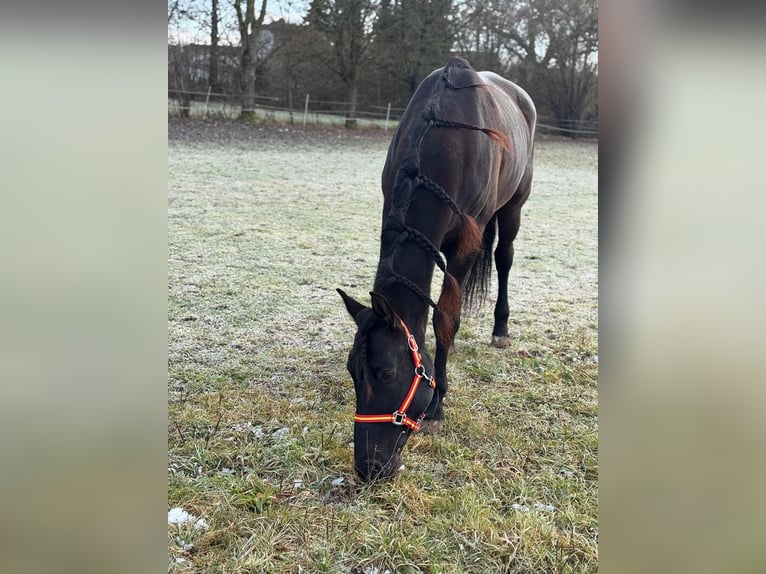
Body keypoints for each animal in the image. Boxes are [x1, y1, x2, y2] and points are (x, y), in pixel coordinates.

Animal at [340, 57, 536, 482]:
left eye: (387, 373)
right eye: (351, 372)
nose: (369, 467)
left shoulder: (464, 247)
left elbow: (446, 316)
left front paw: (436, 406)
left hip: (513, 207)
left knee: (504, 258)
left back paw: (500, 329)